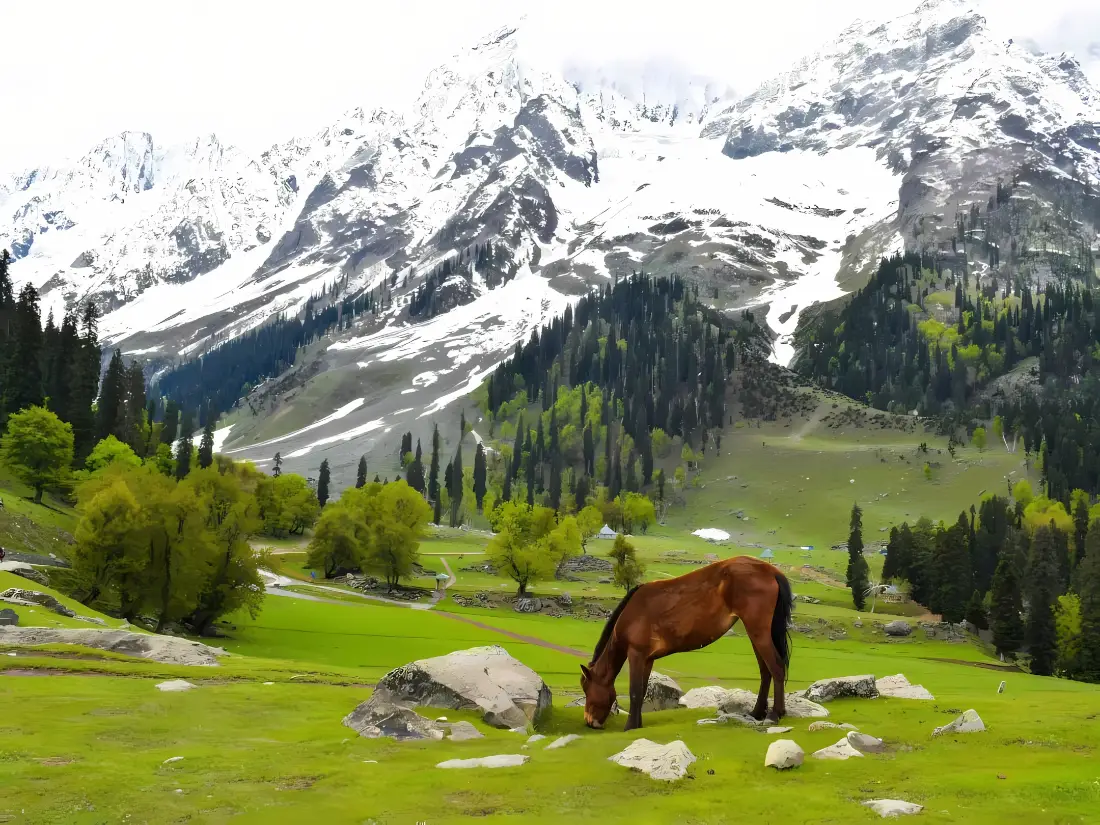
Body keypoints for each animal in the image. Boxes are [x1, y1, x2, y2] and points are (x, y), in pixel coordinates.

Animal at [580, 555, 793, 730]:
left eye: (586, 688)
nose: (589, 722)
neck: (632, 614)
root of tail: (771, 571)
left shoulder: (636, 654)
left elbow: (634, 691)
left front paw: (630, 726)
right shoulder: (647, 659)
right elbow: (641, 691)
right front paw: (637, 724)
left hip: (758, 631)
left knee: (776, 667)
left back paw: (775, 714)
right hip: (756, 633)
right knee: (765, 671)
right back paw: (757, 712)